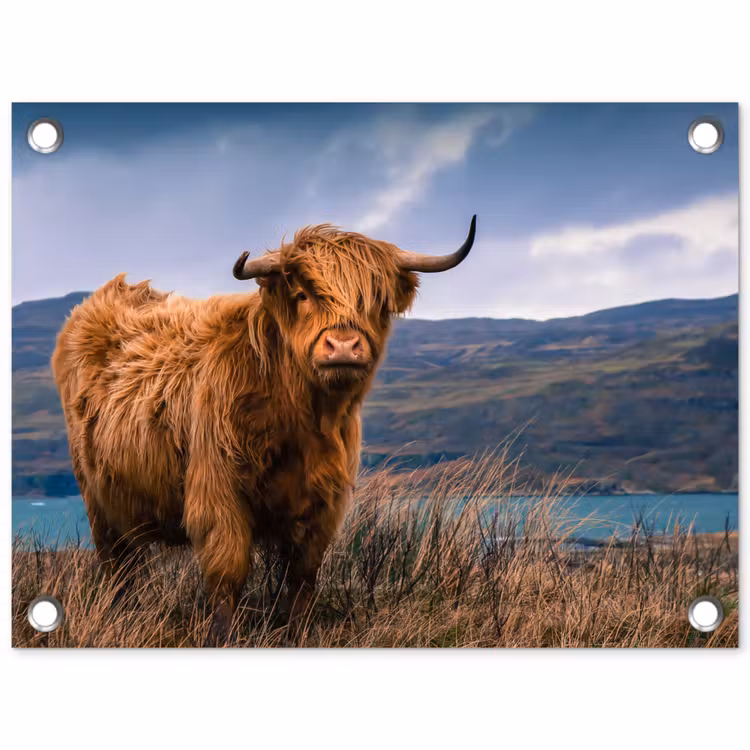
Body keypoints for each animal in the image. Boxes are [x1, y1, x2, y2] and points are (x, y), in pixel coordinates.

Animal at [51, 216, 476, 640]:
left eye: (375, 300)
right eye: (303, 294)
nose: (342, 346)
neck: (301, 420)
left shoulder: (324, 503)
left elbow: (303, 576)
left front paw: (298, 633)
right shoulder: (218, 492)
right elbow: (228, 573)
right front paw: (223, 637)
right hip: (98, 500)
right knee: (117, 566)